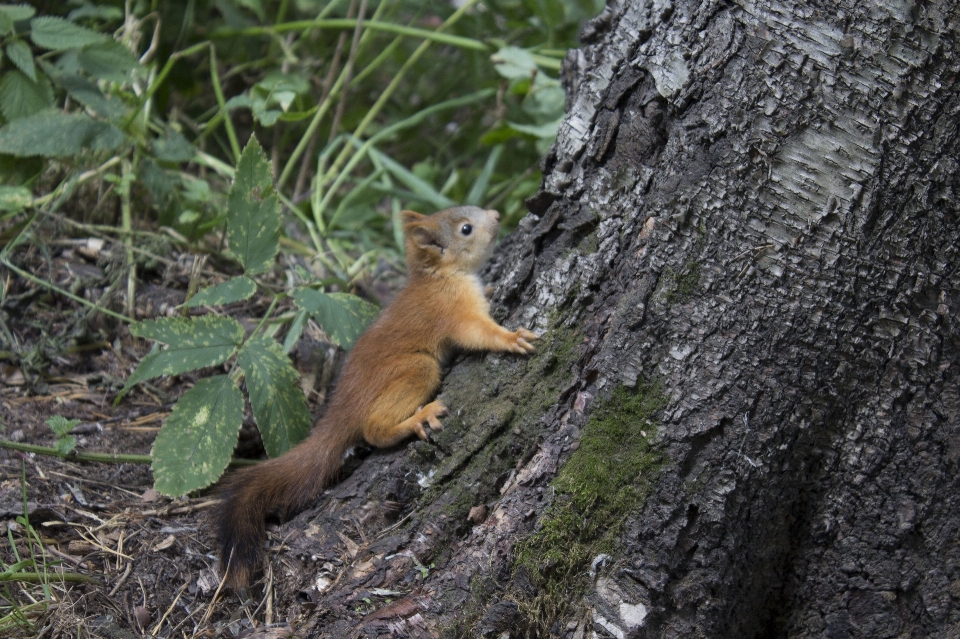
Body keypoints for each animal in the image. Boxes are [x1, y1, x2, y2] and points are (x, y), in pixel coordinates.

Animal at [212, 205, 540, 592]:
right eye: (466, 229)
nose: (497, 215)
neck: (439, 275)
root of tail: (343, 409)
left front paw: (491, 287)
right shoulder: (452, 309)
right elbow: (477, 333)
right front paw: (511, 338)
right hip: (418, 368)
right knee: (373, 430)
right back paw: (416, 419)